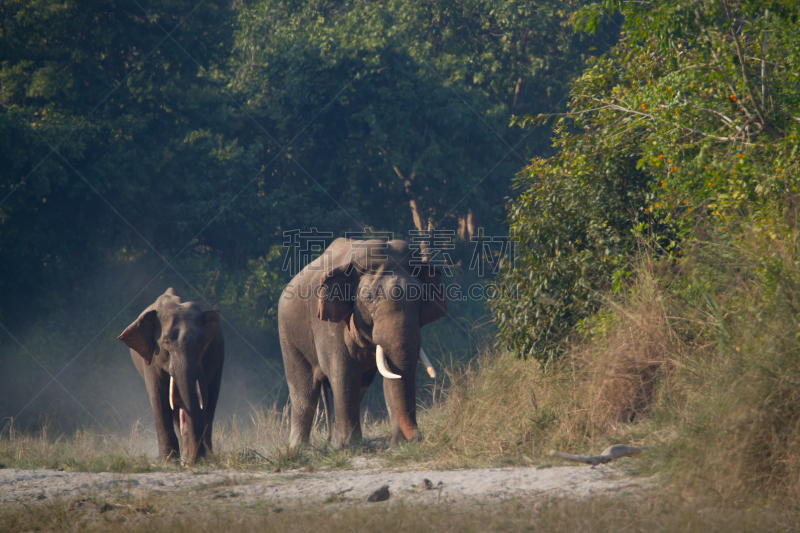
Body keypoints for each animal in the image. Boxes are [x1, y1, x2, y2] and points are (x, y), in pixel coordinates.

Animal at [115, 286, 223, 462]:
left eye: (202, 342)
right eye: (165, 342)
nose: (194, 460)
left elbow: (202, 397)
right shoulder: (151, 357)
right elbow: (158, 396)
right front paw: (169, 462)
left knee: (211, 400)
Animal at [278, 237, 446, 444]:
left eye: (421, 297)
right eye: (369, 298)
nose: (418, 438)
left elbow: (389, 375)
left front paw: (398, 444)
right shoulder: (328, 325)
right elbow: (342, 373)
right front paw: (348, 446)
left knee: (360, 385)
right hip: (288, 334)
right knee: (303, 391)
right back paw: (299, 448)